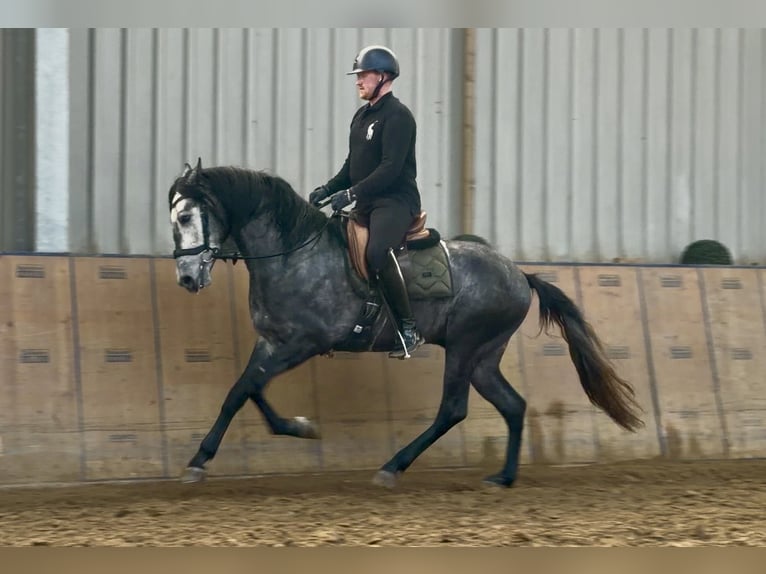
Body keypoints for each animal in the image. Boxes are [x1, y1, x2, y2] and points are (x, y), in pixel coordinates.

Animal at [168, 159, 644, 488]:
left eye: (187, 217)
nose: (188, 279)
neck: (292, 255)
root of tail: (518, 274)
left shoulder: (304, 342)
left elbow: (249, 388)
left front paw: (295, 429)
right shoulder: (271, 341)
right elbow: (243, 391)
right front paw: (208, 457)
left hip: (466, 348)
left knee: (453, 409)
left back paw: (392, 467)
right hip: (484, 358)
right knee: (512, 405)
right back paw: (503, 477)